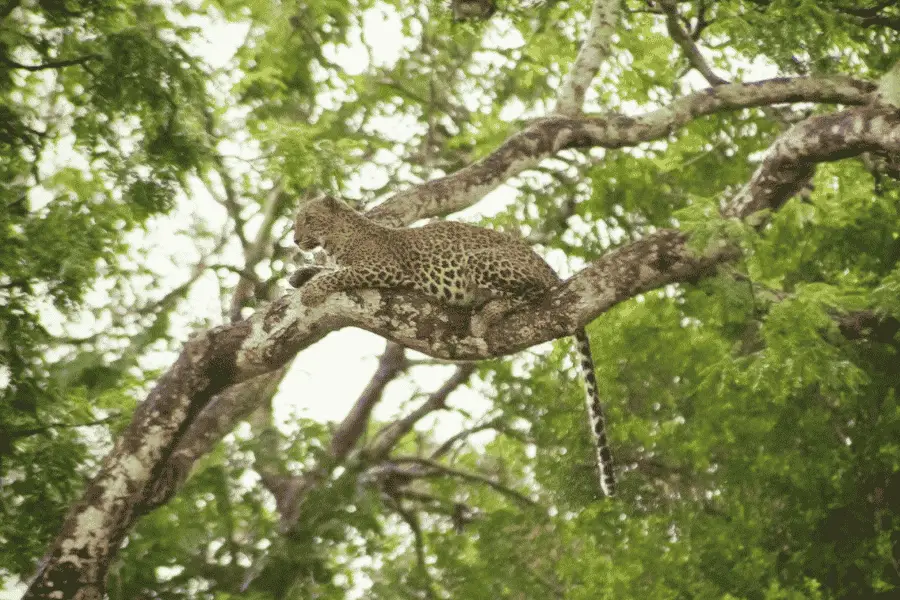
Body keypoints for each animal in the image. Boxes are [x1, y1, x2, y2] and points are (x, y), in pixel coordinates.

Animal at [291, 194, 616, 497]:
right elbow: (324, 268)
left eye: (308, 219)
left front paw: (311, 289)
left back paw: (488, 313)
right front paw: (300, 274)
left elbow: (340, 273)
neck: (335, 241)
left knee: (534, 293)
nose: (294, 240)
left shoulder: (384, 267)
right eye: (296, 221)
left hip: (481, 261)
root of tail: (545, 264)